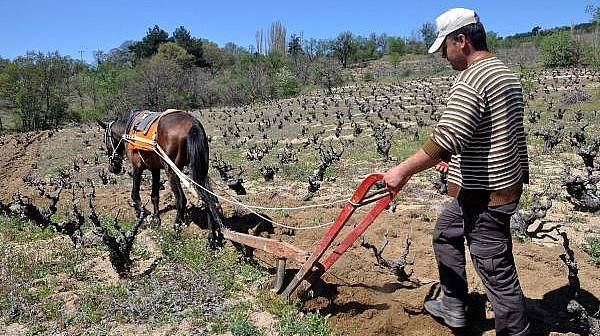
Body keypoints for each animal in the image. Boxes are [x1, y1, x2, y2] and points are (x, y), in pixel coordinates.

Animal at [98, 110, 225, 247]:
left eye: (105, 140)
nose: (113, 168)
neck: (128, 130)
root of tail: (193, 124)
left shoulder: (137, 167)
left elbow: (135, 194)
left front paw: (142, 213)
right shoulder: (155, 169)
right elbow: (154, 196)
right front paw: (156, 219)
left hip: (172, 170)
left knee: (182, 200)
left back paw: (175, 232)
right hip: (200, 169)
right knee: (208, 198)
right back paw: (211, 238)